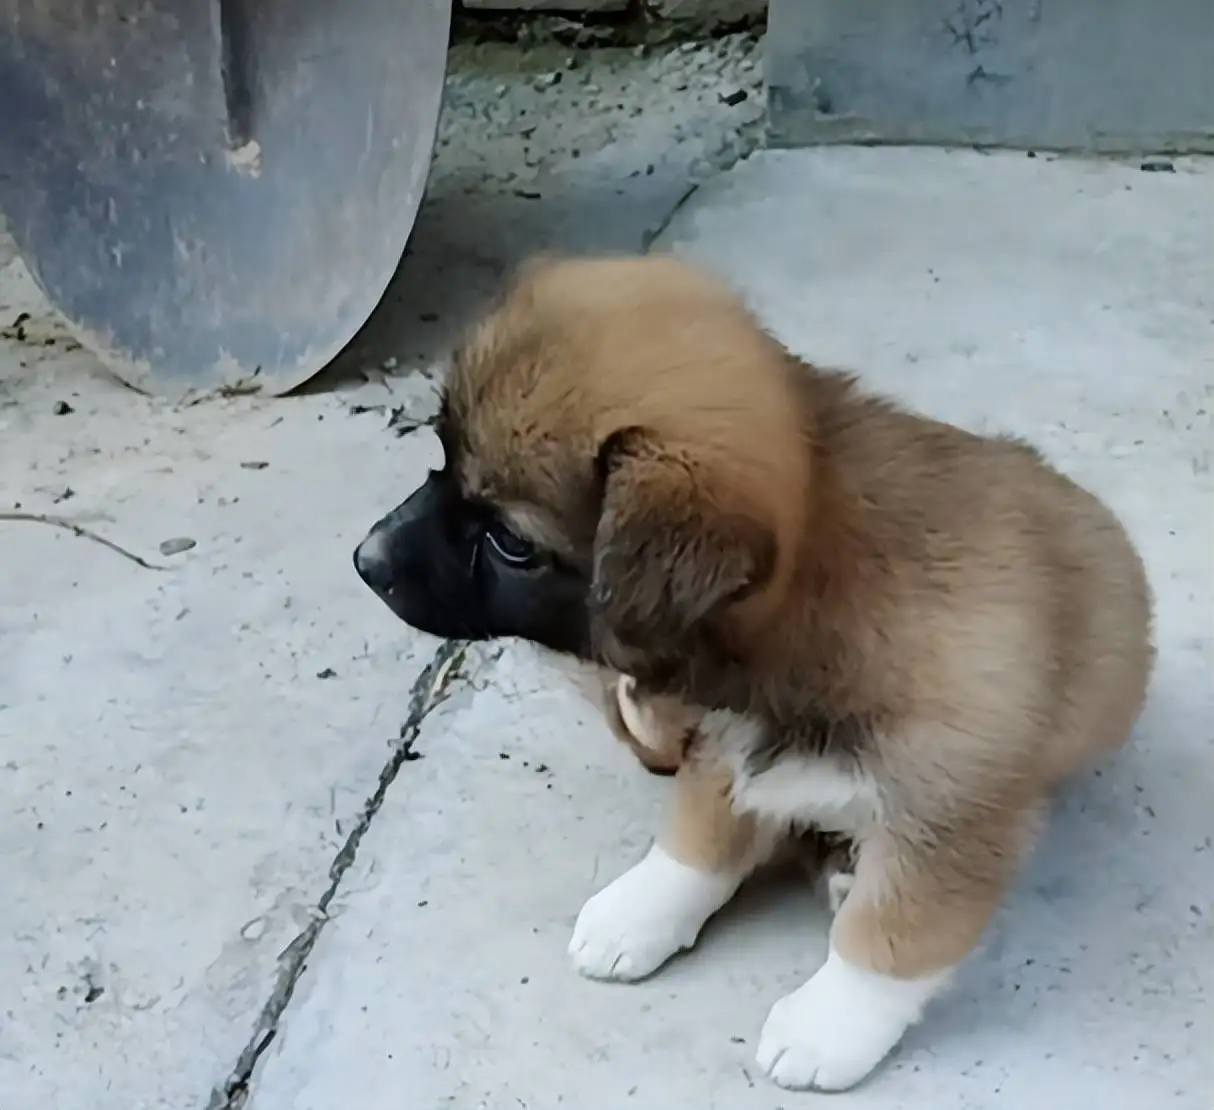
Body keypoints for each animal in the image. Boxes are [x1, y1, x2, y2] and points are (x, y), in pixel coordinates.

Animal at [354, 251, 1155, 1088]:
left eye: (510, 543)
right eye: (441, 459)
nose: (363, 561)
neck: (818, 589)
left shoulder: (951, 815)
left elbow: (890, 935)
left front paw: (827, 1025)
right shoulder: (723, 743)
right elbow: (696, 839)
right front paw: (641, 911)